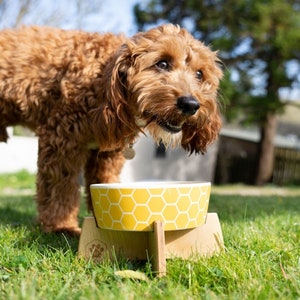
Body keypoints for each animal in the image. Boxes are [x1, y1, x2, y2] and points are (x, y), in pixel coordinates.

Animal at [0, 24, 223, 234]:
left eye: (199, 74)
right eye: (162, 63)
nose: (190, 104)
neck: (102, 82)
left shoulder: (106, 155)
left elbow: (104, 181)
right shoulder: (60, 139)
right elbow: (60, 188)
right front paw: (61, 226)